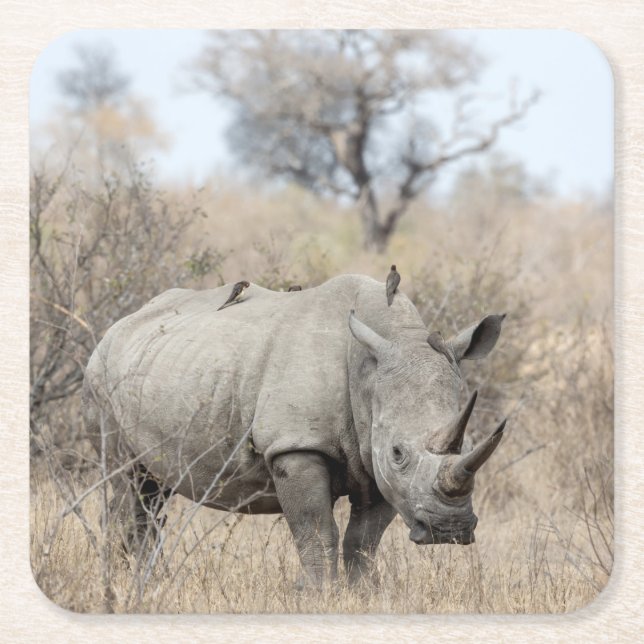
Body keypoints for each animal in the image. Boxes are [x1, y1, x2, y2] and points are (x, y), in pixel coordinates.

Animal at [82, 274, 506, 586]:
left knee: (153, 492)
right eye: (398, 453)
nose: (448, 530)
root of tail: (119, 325)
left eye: (467, 444)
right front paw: (321, 594)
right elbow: (316, 531)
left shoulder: (375, 461)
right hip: (101, 377)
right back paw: (127, 585)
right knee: (129, 484)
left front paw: (363, 594)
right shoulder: (296, 445)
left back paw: (144, 583)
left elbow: (363, 541)